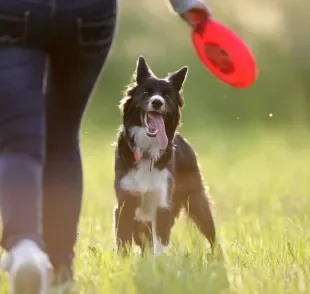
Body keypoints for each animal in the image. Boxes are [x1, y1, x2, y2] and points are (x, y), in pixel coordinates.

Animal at [112, 56, 219, 258]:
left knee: (212, 237)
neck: (147, 151)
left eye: (167, 95)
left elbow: (160, 247)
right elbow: (124, 243)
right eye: (146, 92)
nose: (157, 102)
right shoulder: (125, 203)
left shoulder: (162, 205)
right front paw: (122, 263)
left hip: (197, 202)